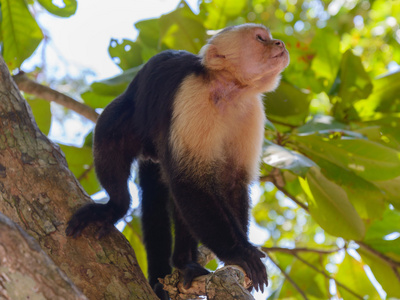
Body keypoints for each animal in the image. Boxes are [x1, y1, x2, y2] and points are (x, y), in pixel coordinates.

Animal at [67, 22, 290, 298]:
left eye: (269, 38)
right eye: (260, 39)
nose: (280, 43)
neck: (230, 90)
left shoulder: (251, 110)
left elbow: (231, 181)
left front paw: (239, 251)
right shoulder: (194, 97)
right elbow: (188, 181)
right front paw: (239, 252)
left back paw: (185, 263)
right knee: (113, 131)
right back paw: (115, 206)